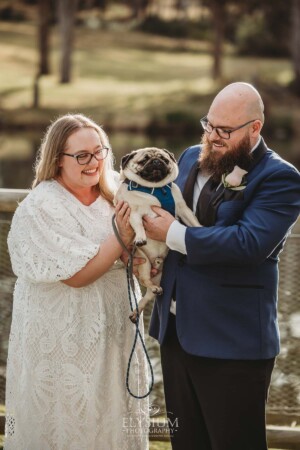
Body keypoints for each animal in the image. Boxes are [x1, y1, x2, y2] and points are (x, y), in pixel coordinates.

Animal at [113, 146, 200, 322]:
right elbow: (139, 225)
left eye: (164, 160)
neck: (155, 189)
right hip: (144, 261)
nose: (156, 161)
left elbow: (192, 220)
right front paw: (140, 237)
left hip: (159, 275)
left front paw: (200, 227)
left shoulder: (182, 208)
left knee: (147, 295)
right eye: (144, 160)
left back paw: (138, 309)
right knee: (145, 281)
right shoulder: (133, 213)